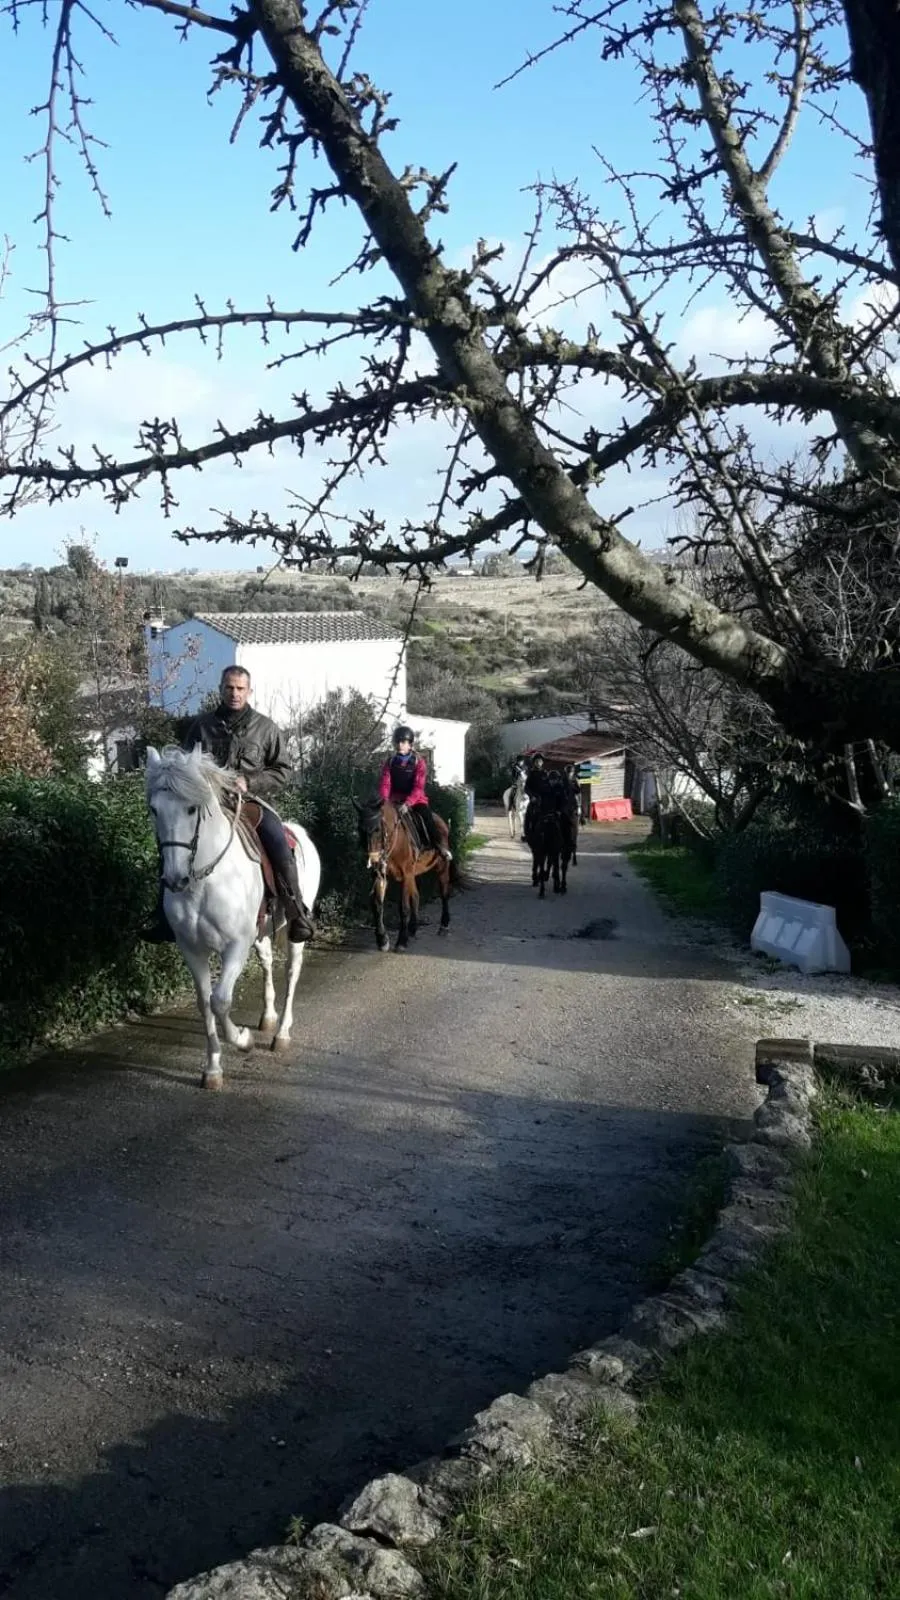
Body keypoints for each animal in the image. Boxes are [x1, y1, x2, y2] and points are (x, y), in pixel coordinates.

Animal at [145, 745, 321, 1088]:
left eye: (191, 809)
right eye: (154, 810)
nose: (174, 879)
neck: (203, 882)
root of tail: (299, 831)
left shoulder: (235, 946)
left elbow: (221, 1001)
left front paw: (243, 1040)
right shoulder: (192, 949)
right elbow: (204, 1003)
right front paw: (213, 1068)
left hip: (292, 932)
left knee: (291, 971)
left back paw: (281, 1033)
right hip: (261, 933)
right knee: (267, 962)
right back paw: (268, 1019)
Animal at [355, 798, 452, 951]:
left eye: (377, 829)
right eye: (360, 829)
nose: (374, 860)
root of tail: (440, 820)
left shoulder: (405, 875)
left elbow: (403, 908)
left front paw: (401, 941)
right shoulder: (381, 876)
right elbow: (377, 905)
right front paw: (382, 940)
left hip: (441, 867)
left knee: (444, 894)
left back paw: (444, 926)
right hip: (414, 873)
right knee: (416, 896)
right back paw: (413, 928)